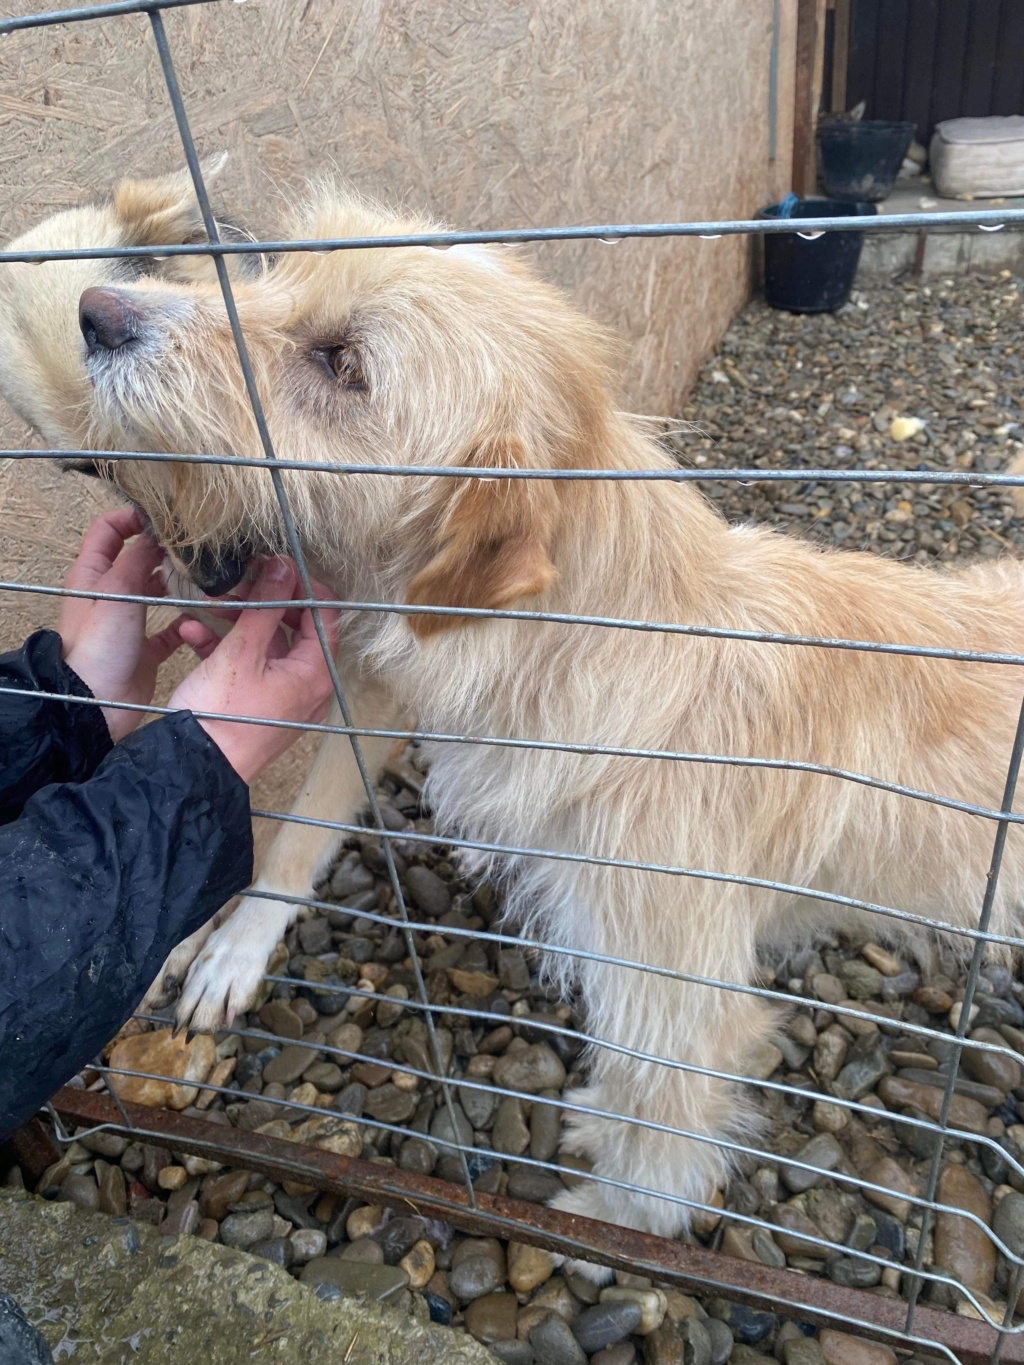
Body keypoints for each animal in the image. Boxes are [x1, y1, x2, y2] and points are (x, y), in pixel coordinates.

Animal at [2, 162, 1024, 1266]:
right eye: (268, 274)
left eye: (341, 363)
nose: (98, 309)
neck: (604, 649)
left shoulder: (672, 990)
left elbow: (659, 1125)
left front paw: (616, 1224)